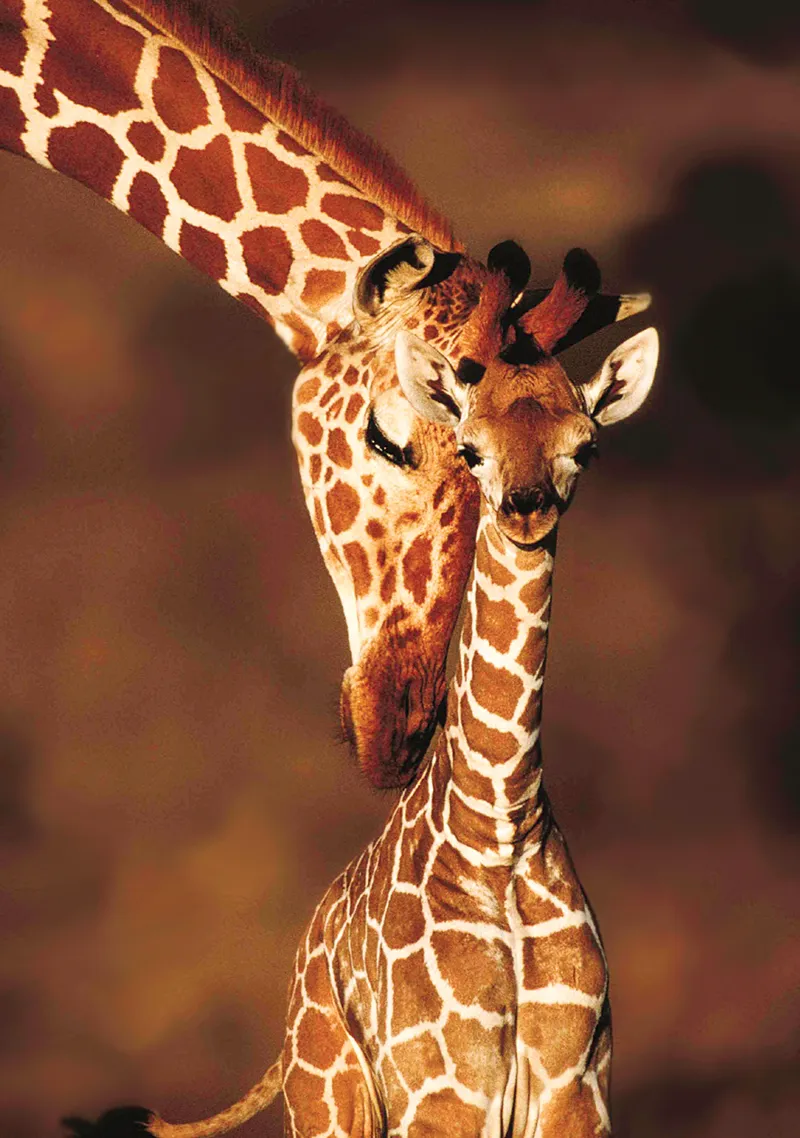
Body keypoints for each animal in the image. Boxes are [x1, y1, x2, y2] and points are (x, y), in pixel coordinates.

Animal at [64, 252, 658, 1137]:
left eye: (584, 447)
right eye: (471, 449)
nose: (525, 511)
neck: (500, 828)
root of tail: (297, 982)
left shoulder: (575, 1091)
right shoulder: (442, 1095)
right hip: (331, 1099)